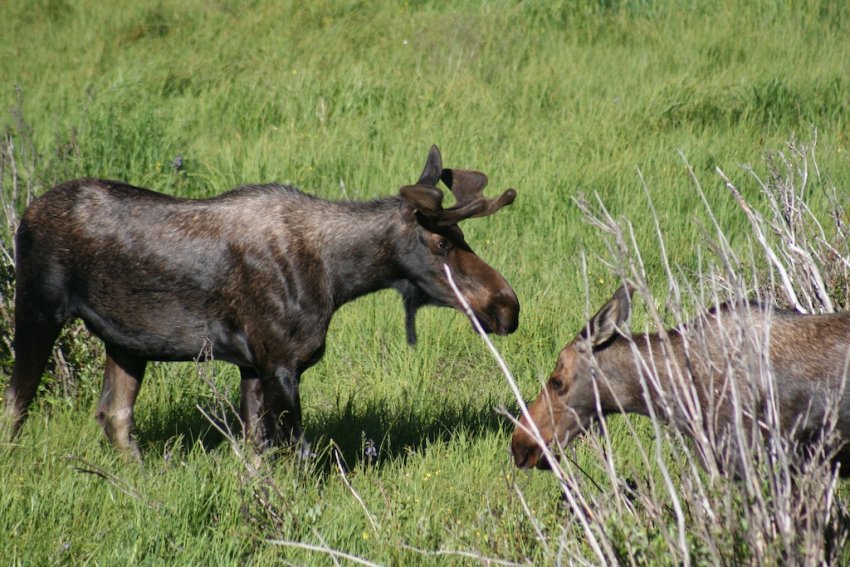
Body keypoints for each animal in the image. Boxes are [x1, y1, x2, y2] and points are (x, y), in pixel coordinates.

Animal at [4, 145, 520, 459]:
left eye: (461, 236)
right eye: (442, 243)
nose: (508, 305)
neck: (339, 278)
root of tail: (26, 213)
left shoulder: (252, 365)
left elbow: (258, 455)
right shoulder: (279, 361)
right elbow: (294, 456)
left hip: (127, 342)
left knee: (114, 416)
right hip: (36, 308)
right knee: (16, 404)